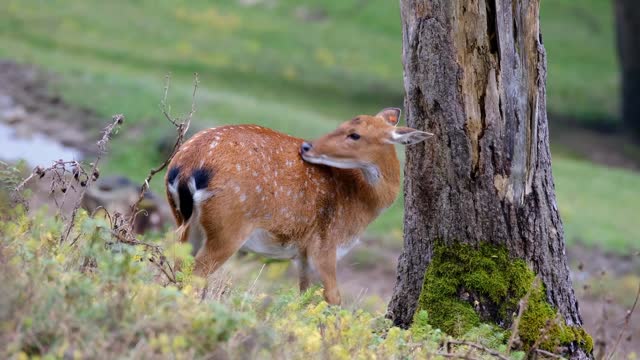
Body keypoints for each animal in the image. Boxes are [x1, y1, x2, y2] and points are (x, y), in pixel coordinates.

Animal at [164, 108, 436, 306]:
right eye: (343, 125)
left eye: (355, 134)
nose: (307, 146)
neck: (361, 203)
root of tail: (185, 167)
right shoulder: (325, 244)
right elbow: (333, 299)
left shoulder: (303, 256)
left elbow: (304, 298)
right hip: (229, 227)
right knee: (197, 273)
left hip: (185, 222)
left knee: (177, 264)